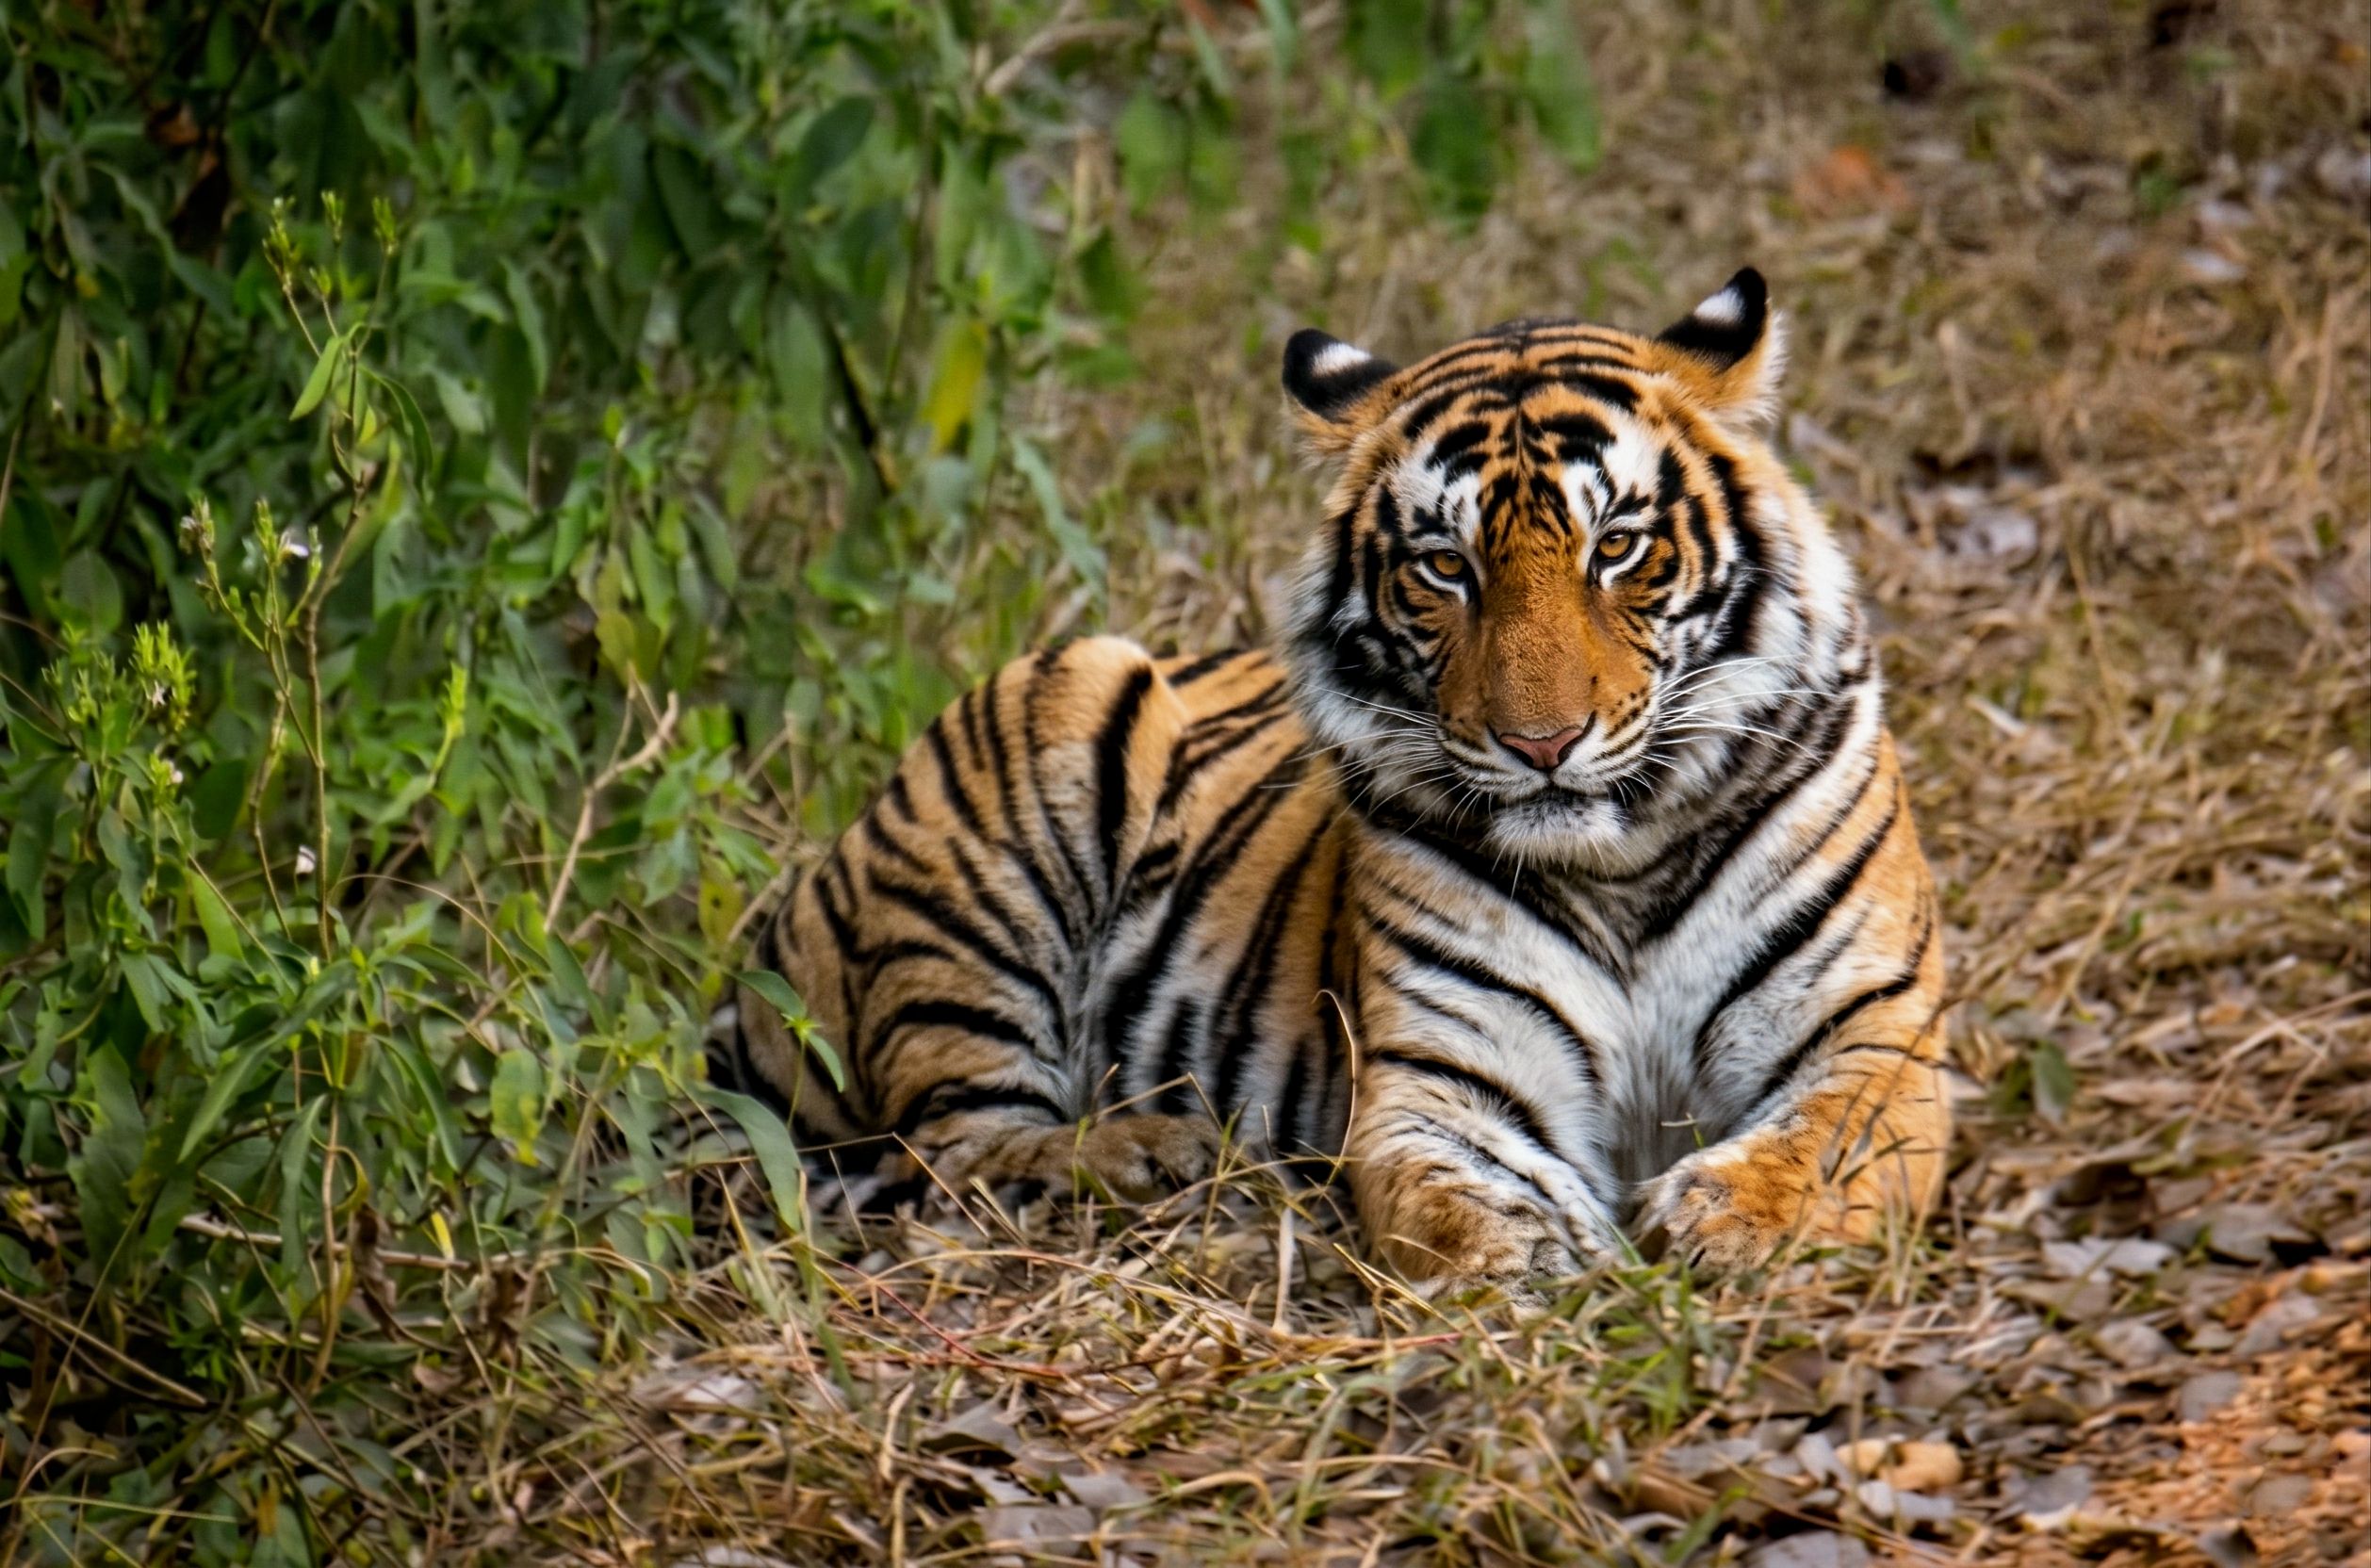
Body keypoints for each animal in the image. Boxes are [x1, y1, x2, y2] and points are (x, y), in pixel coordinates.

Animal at [716, 268, 1950, 1284]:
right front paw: (1550, 1264)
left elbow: (1822, 1142)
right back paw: (1155, 1148)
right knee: (955, 1147)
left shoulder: (1872, 1030)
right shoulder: (1439, 1075)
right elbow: (1462, 1201)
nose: (1540, 743)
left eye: (1616, 547)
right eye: (1444, 567)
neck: (1623, 862)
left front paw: (1715, 1221)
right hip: (1047, 730)